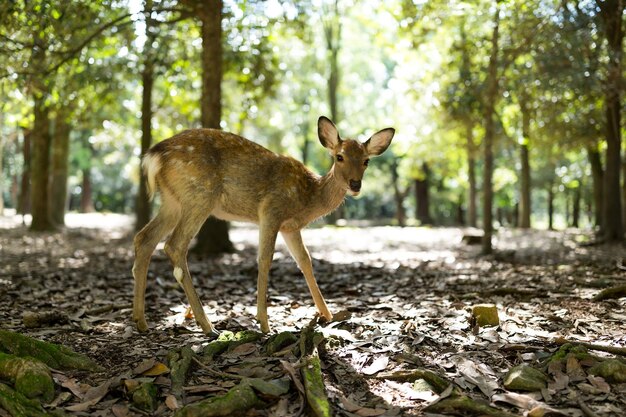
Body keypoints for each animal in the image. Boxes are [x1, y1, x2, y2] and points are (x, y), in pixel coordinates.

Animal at [132, 115, 394, 334]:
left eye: (366, 161)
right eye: (339, 156)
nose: (355, 184)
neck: (308, 197)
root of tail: (154, 155)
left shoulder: (291, 227)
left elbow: (305, 261)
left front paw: (327, 315)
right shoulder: (271, 210)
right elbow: (265, 259)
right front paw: (264, 323)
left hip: (172, 201)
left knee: (144, 238)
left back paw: (141, 322)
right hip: (199, 195)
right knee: (174, 245)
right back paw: (208, 326)